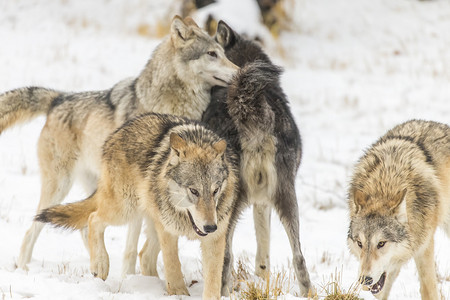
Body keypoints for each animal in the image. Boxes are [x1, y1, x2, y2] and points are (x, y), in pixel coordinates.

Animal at [0, 15, 239, 274]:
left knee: (84, 224)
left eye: (223, 53)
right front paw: (131, 277)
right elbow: (132, 248)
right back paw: (24, 267)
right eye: (211, 54)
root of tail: (58, 99)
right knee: (34, 229)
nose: (240, 72)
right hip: (61, 186)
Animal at [35, 113, 239, 300]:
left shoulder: (215, 240)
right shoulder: (168, 232)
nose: (210, 227)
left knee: (144, 255)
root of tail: (116, 134)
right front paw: (178, 294)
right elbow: (173, 267)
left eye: (215, 190)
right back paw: (100, 264)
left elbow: (213, 282)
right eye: (194, 191)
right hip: (125, 210)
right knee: (94, 218)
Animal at [200, 20, 312, 296]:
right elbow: (264, 254)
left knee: (226, 256)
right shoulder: (263, 203)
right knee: (299, 258)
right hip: (287, 198)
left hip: (229, 204)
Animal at [348, 120, 450, 300]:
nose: (365, 279)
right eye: (360, 243)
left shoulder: (424, 245)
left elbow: (429, 289)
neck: (383, 186)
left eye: (381, 243)